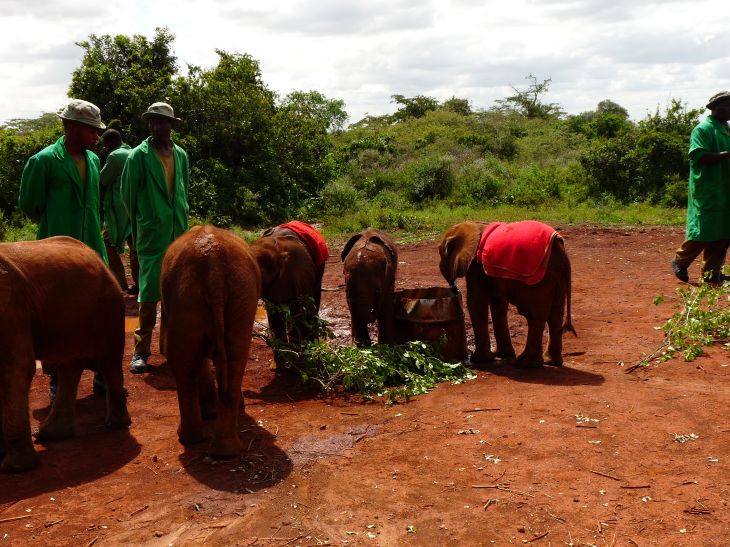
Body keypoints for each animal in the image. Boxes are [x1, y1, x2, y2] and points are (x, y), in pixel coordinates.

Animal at [0, 236, 131, 473]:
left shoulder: (11, 310)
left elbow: (16, 368)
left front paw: (15, 468)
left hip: (109, 307)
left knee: (109, 363)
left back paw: (116, 424)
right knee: (68, 366)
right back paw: (52, 435)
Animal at [161, 225, 261, 458]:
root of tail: (213, 267)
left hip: (187, 298)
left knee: (184, 367)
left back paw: (190, 438)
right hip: (240, 296)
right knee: (233, 362)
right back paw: (225, 451)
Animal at [438, 221, 575, 367]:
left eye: (440, 253)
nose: (455, 289)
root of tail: (560, 248)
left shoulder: (476, 266)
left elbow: (476, 302)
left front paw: (480, 360)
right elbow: (498, 303)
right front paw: (501, 355)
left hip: (541, 281)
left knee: (534, 315)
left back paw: (526, 364)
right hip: (556, 276)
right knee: (555, 315)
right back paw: (552, 362)